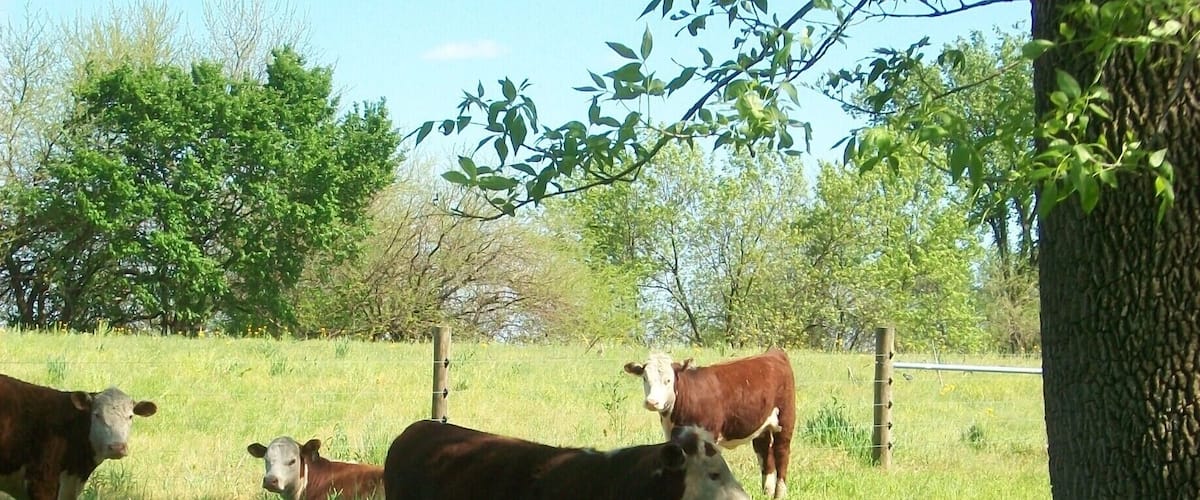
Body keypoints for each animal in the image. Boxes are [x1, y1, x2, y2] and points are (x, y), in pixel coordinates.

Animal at [624, 348, 796, 499]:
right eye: (645, 378)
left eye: (668, 380)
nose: (652, 402)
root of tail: (773, 352)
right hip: (762, 427)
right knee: (765, 453)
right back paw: (767, 492)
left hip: (785, 420)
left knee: (782, 453)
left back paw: (780, 493)